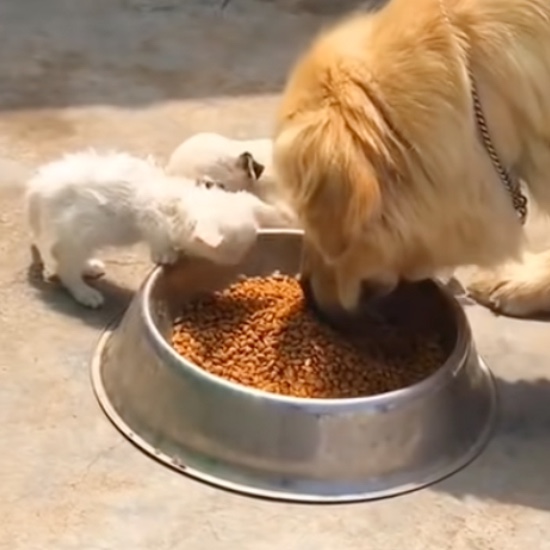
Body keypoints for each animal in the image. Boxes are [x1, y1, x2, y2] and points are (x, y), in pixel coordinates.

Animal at [24, 149, 294, 308]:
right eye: (233, 253)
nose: (238, 263)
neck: (180, 203)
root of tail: (36, 189)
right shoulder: (152, 218)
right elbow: (160, 238)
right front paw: (167, 254)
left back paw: (90, 267)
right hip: (75, 233)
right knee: (65, 267)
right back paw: (85, 293)